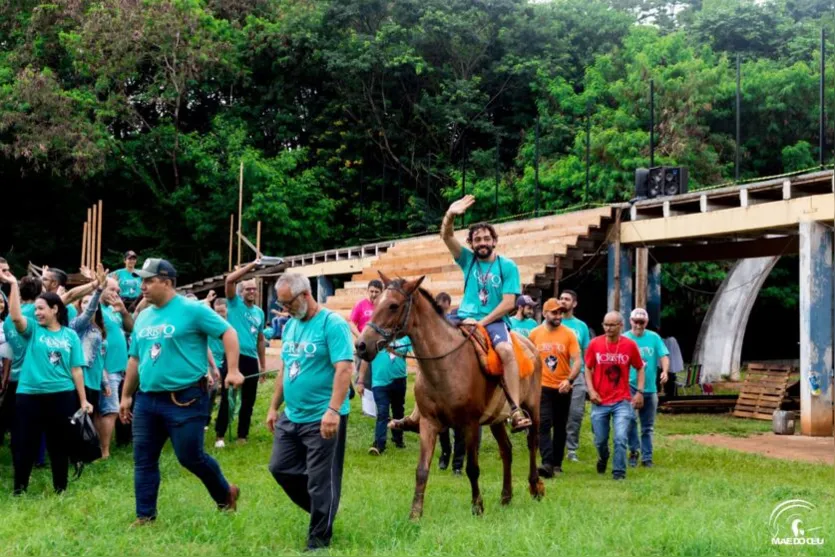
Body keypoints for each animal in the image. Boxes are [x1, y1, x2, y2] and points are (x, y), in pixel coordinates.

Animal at [352, 272, 544, 520]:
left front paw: (477, 506)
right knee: (507, 450)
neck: (446, 363)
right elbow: (422, 470)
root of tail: (531, 345)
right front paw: (415, 514)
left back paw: (535, 486)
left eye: (393, 305)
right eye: (375, 304)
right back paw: (506, 496)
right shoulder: (429, 423)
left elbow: (472, 468)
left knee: (532, 443)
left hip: (532, 408)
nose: (361, 345)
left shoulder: (470, 424)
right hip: (497, 419)